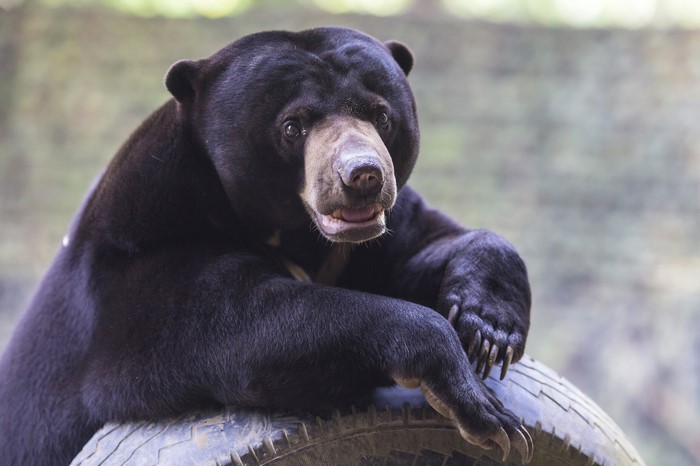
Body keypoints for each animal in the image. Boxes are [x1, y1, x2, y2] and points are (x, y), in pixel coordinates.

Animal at [0, 27, 532, 465]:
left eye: (381, 115)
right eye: (293, 126)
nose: (363, 176)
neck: (293, 231)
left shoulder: (379, 237)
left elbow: (428, 242)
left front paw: (488, 331)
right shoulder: (143, 259)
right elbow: (243, 322)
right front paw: (486, 412)